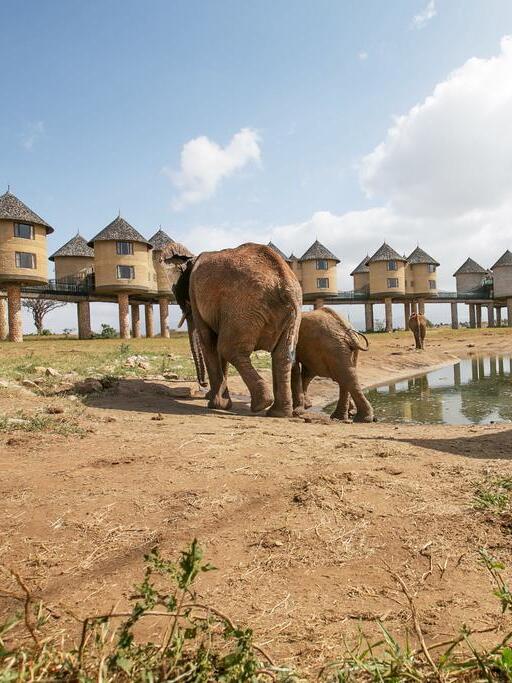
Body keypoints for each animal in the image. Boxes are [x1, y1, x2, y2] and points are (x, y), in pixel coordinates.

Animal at [163, 242, 302, 418]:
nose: (203, 385)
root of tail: (283, 282)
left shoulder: (194, 294)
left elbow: (208, 341)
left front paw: (216, 404)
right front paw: (215, 398)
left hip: (243, 308)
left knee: (228, 348)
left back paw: (260, 404)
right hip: (291, 314)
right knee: (282, 355)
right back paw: (277, 413)